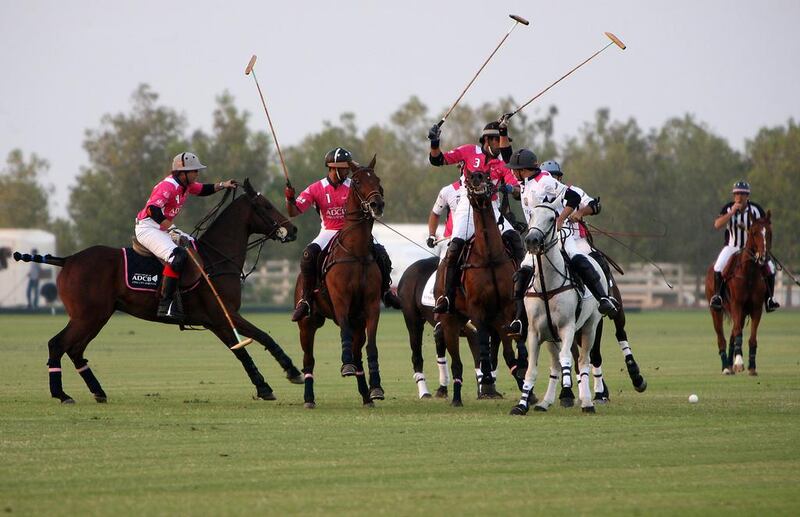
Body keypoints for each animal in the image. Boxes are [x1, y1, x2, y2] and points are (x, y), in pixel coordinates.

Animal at [15, 180, 304, 404]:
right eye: (265, 205)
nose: (293, 229)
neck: (215, 259)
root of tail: (68, 260)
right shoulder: (222, 316)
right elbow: (256, 341)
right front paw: (286, 375)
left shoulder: (219, 320)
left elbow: (247, 347)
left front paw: (271, 384)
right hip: (87, 316)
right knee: (58, 344)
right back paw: (62, 394)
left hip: (97, 316)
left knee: (75, 349)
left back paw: (98, 392)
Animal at [294, 155, 388, 406]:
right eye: (356, 181)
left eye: (377, 179)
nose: (377, 205)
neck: (356, 252)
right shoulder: (340, 301)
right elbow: (343, 331)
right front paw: (345, 365)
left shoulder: (371, 307)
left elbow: (372, 345)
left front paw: (376, 388)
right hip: (307, 323)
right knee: (309, 360)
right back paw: (309, 397)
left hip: (358, 322)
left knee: (358, 354)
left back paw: (366, 395)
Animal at [434, 171, 520, 406]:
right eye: (470, 176)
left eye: (488, 175)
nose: (477, 178)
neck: (488, 256)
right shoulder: (477, 309)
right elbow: (482, 346)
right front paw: (487, 380)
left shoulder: (505, 309)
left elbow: (508, 353)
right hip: (450, 321)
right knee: (456, 362)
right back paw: (456, 398)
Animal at [510, 203, 604, 416]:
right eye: (531, 215)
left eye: (552, 218)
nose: (532, 240)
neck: (547, 285)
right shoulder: (535, 332)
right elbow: (531, 370)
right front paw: (521, 405)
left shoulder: (567, 327)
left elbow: (567, 358)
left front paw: (569, 386)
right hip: (551, 337)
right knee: (555, 366)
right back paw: (545, 402)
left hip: (589, 327)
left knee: (583, 361)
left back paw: (587, 402)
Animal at [704, 212, 772, 372]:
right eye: (754, 232)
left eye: (769, 232)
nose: (764, 257)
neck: (749, 273)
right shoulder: (737, 305)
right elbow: (738, 334)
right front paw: (740, 362)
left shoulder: (756, 308)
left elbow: (752, 338)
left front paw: (752, 366)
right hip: (716, 310)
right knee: (721, 338)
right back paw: (726, 367)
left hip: (741, 313)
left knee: (732, 335)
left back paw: (730, 363)